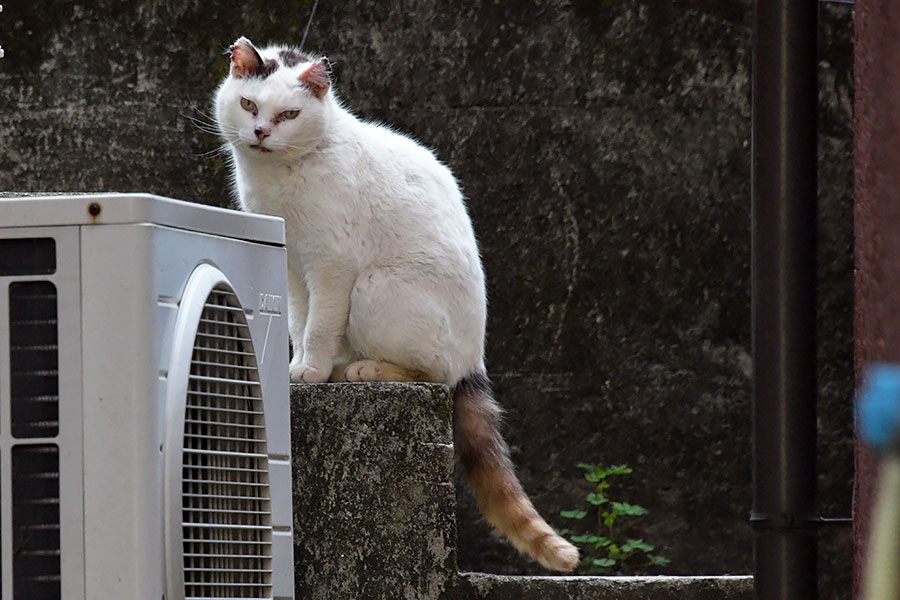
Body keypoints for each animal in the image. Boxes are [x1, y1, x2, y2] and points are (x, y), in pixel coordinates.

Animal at [218, 37, 580, 572]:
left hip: (375, 288)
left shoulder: (332, 265)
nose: (261, 131)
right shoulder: (293, 270)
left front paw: (312, 370)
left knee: (435, 376)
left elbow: (319, 325)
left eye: (288, 114)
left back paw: (363, 370)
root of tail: (475, 361)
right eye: (248, 105)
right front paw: (302, 365)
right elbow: (300, 323)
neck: (281, 176)